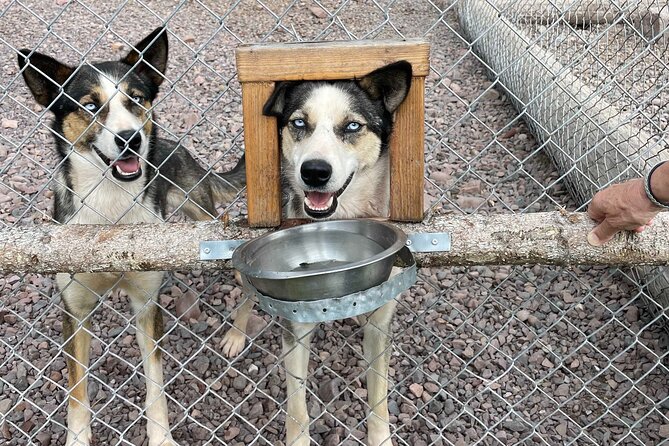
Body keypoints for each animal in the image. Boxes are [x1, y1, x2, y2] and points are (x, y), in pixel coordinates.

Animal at [17, 27, 243, 442]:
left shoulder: (146, 303)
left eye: (136, 99)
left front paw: (162, 437)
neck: (111, 212)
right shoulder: (75, 310)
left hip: (199, 209)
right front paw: (77, 438)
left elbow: (155, 385)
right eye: (90, 106)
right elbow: (76, 390)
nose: (130, 139)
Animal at [222, 61, 410, 446]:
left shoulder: (381, 321)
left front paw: (380, 436)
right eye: (298, 123)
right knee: (247, 295)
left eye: (352, 126)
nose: (314, 172)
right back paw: (236, 334)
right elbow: (297, 408)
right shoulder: (294, 323)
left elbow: (379, 396)